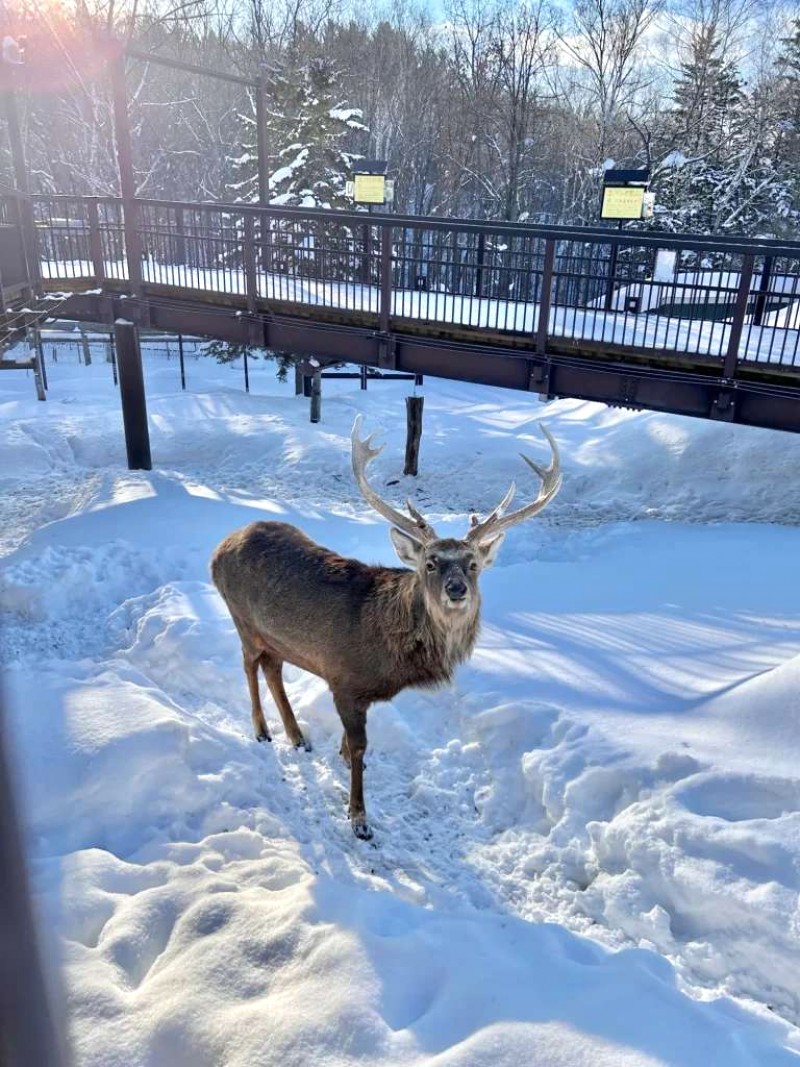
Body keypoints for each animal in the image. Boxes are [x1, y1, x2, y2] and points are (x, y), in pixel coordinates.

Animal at [213, 411, 563, 836]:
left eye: (473, 564)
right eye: (431, 563)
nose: (457, 589)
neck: (391, 657)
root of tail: (219, 548)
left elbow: (350, 745)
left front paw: (340, 759)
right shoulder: (343, 679)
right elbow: (360, 747)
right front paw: (359, 817)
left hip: (273, 635)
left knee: (272, 666)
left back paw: (297, 737)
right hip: (241, 616)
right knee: (249, 665)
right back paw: (262, 731)